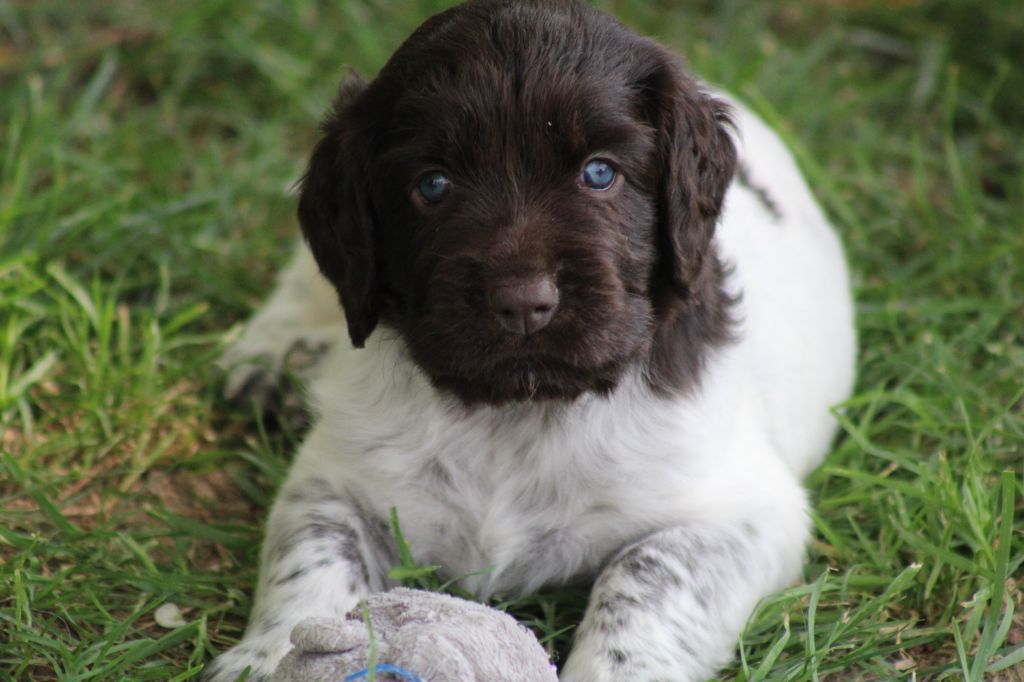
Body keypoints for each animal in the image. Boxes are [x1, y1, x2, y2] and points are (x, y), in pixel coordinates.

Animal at [207, 2, 856, 675]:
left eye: (600, 172)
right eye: (433, 185)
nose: (523, 304)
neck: (517, 413)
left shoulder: (741, 513)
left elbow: (645, 578)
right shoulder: (334, 482)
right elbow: (309, 564)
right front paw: (267, 656)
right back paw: (271, 357)